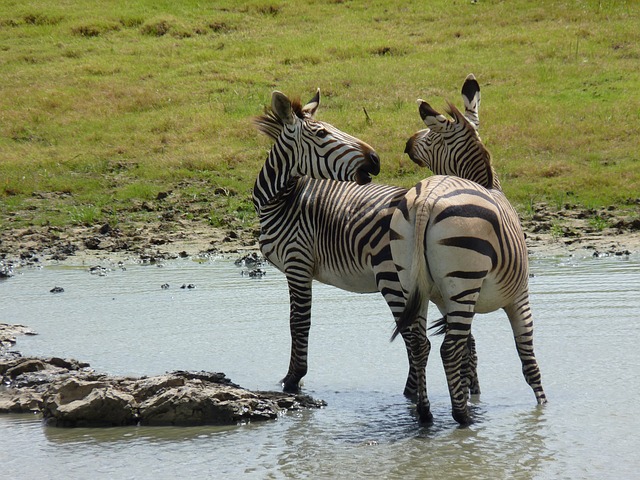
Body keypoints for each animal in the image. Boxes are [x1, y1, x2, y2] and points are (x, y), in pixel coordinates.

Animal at [392, 78, 548, 424]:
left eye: (431, 134)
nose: (407, 143)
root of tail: (427, 198)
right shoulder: (519, 295)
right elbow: (528, 359)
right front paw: (543, 407)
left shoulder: (445, 300)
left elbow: (470, 351)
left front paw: (470, 392)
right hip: (464, 279)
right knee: (447, 348)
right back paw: (463, 417)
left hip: (410, 281)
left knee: (420, 344)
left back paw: (426, 413)